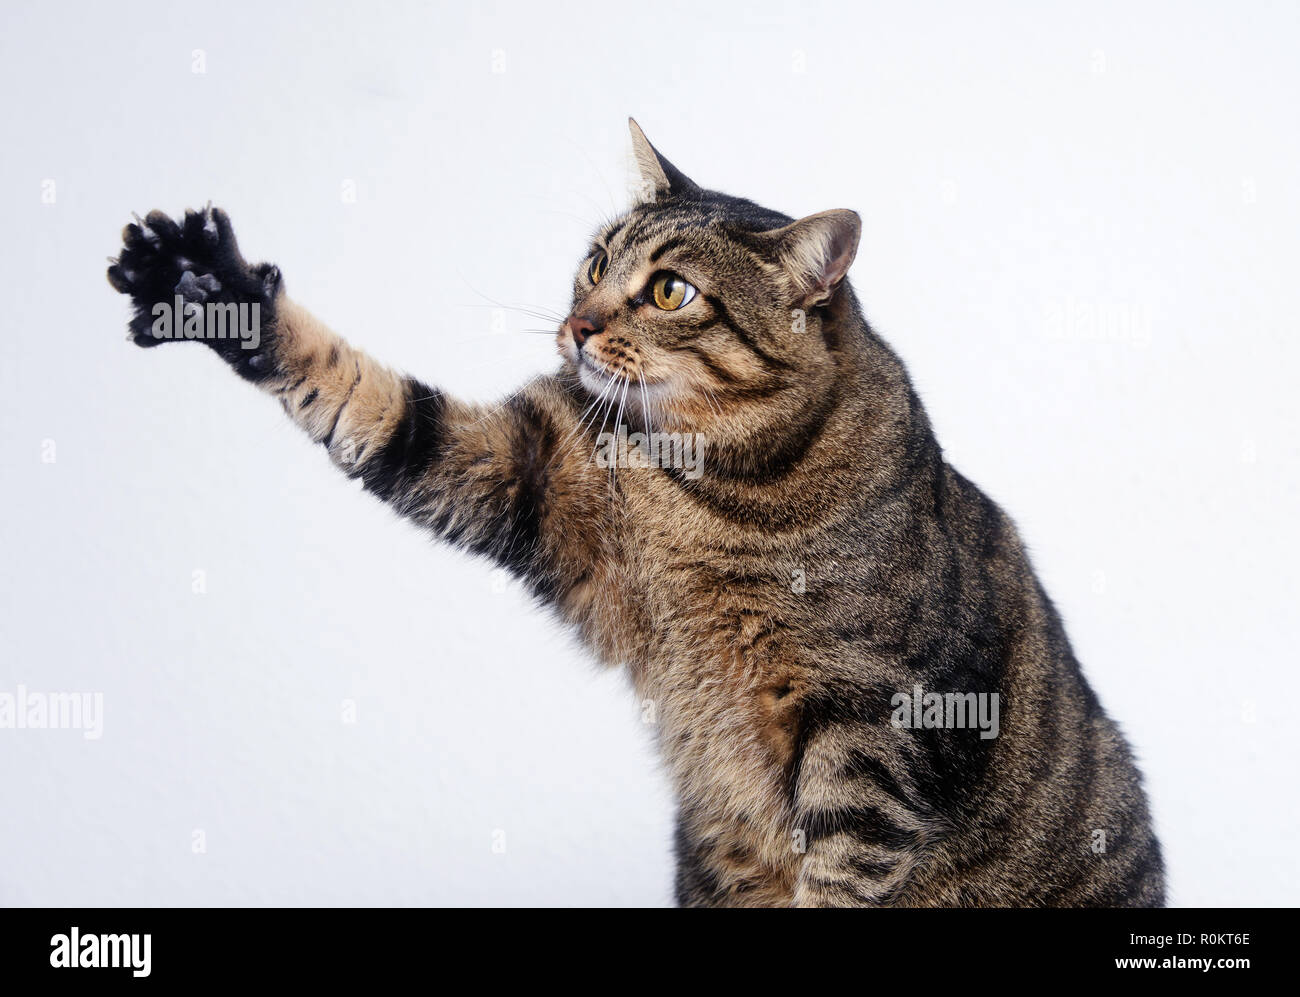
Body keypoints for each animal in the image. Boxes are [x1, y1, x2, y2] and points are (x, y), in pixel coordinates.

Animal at [109, 120, 1170, 909]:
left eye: (669, 290)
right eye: (592, 262)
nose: (577, 326)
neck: (711, 489)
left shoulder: (873, 734)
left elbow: (840, 872)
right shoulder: (521, 468)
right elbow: (376, 401)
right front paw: (213, 289)